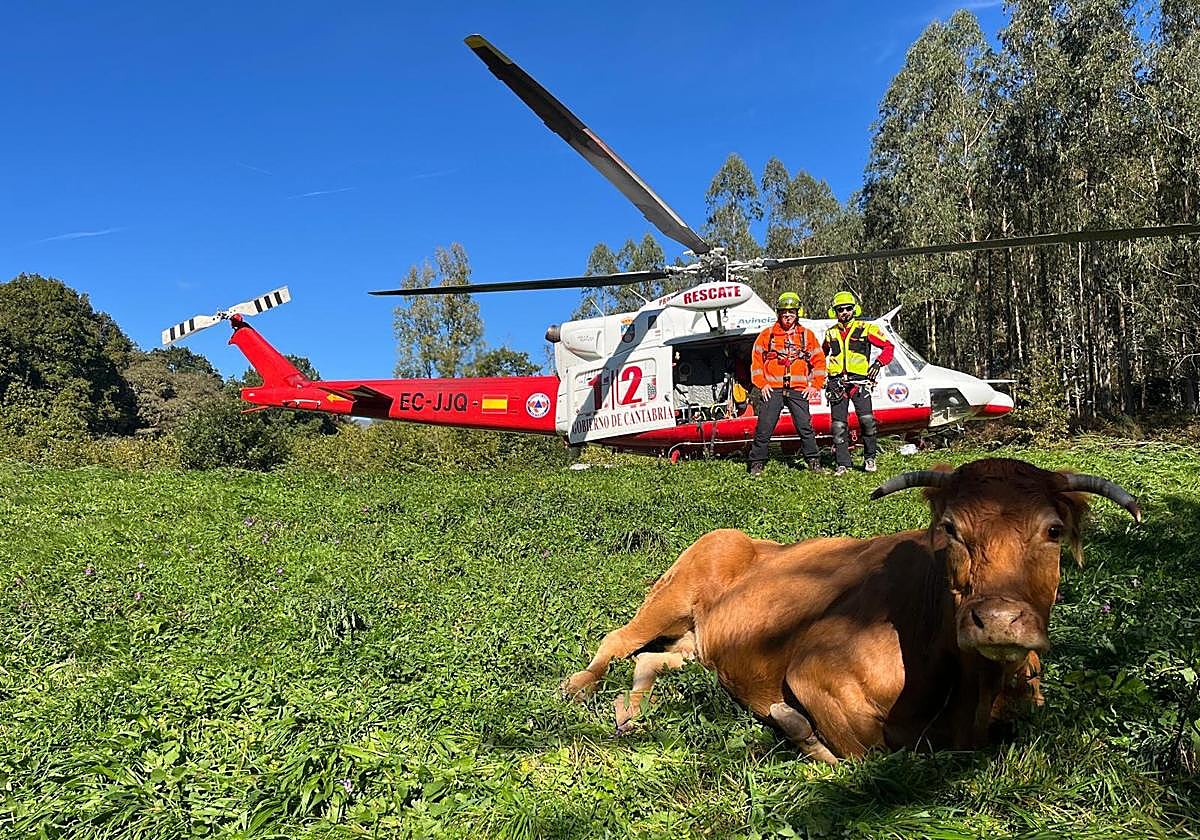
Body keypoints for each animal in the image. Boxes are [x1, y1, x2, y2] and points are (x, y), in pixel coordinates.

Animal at [561, 458, 1140, 763]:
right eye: (950, 528)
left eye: (1054, 530)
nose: (997, 621)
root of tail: (739, 535)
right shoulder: (814, 673)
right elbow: (868, 747)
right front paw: (795, 726)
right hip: (674, 595)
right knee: (618, 640)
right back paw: (581, 686)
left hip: (699, 644)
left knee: (651, 660)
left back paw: (629, 712)